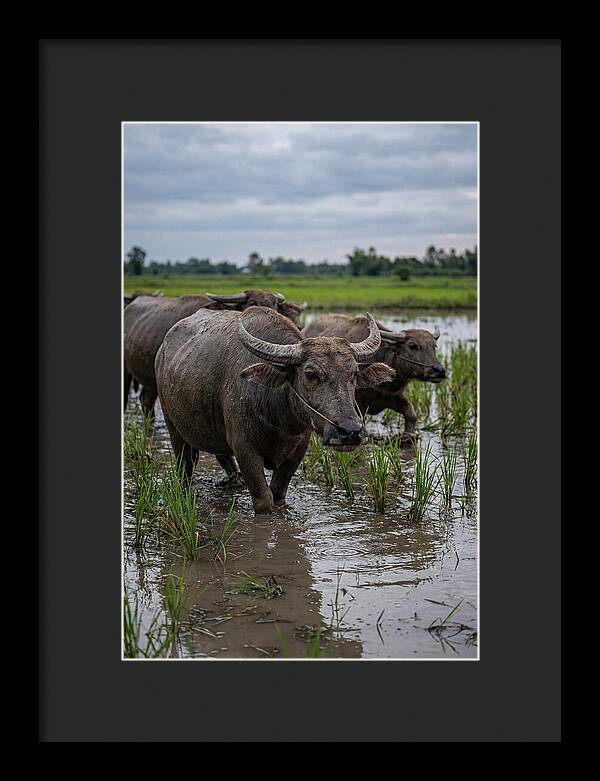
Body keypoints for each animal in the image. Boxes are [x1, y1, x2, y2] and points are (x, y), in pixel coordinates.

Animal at [155, 306, 395, 514]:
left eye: (353, 374)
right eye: (311, 374)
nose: (350, 431)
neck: (279, 419)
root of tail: (162, 350)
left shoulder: (298, 450)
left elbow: (278, 493)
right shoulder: (244, 448)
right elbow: (264, 500)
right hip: (173, 426)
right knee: (185, 466)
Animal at [302, 315, 446, 441]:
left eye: (434, 346)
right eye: (413, 346)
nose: (439, 371)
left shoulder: (392, 396)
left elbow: (411, 413)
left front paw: (408, 436)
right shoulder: (357, 402)